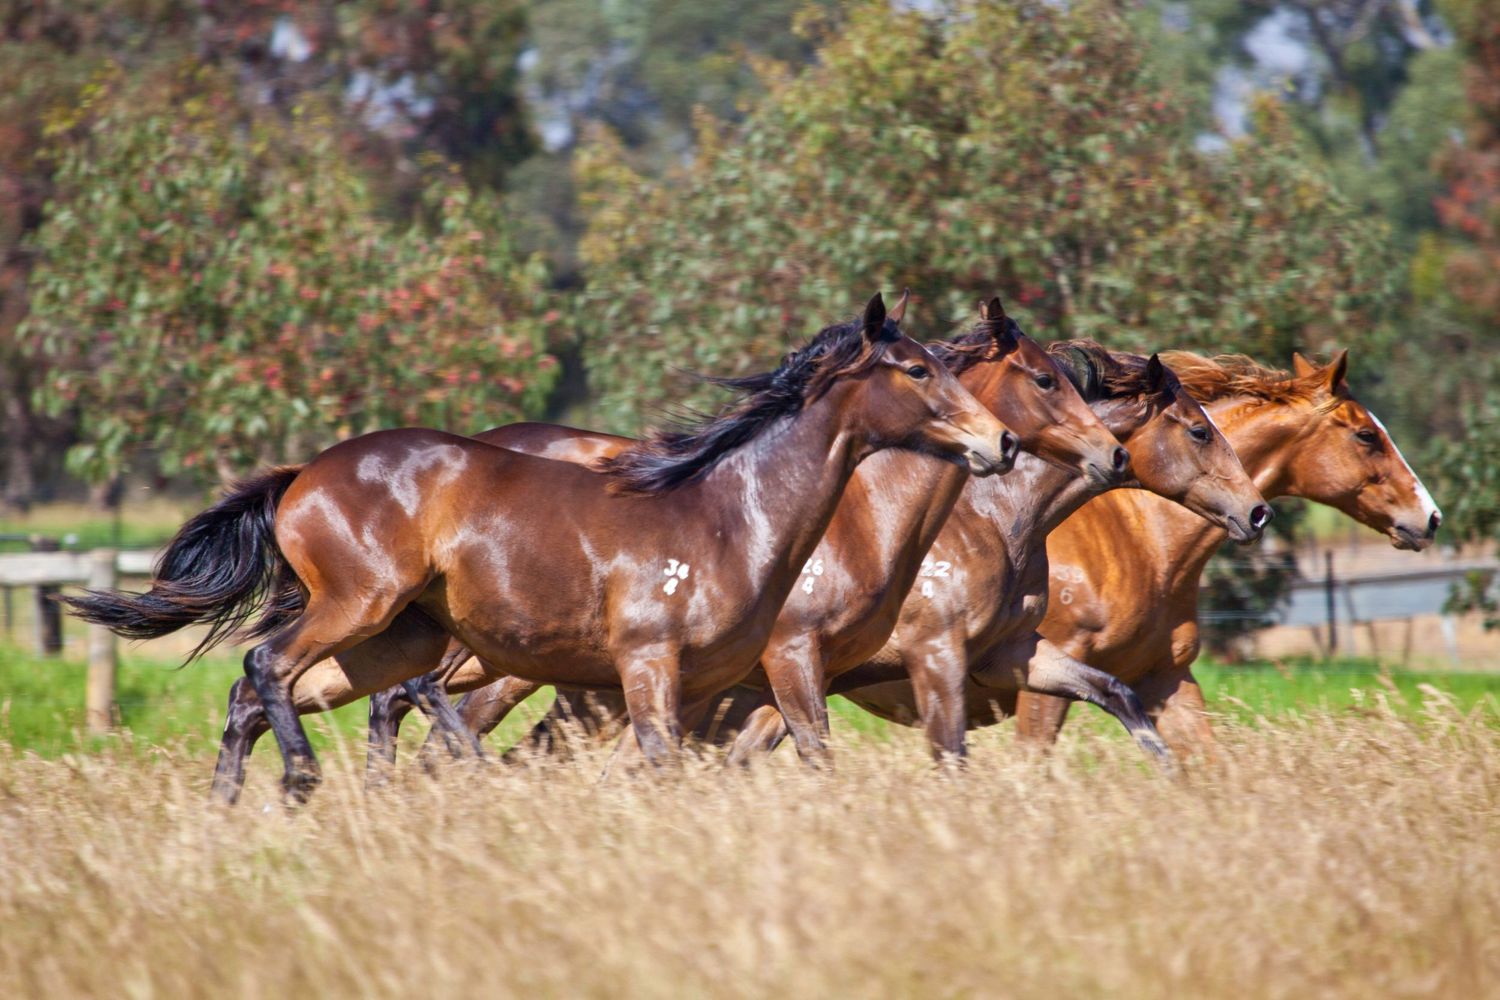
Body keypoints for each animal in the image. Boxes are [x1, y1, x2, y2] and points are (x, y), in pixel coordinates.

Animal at [66, 293, 1015, 803]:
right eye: (918, 370)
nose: (999, 443)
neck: (726, 513)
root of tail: (304, 474)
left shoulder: (706, 684)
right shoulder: (651, 665)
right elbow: (666, 765)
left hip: (394, 640)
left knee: (262, 694)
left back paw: (231, 811)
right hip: (359, 606)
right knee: (266, 668)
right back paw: (299, 780)